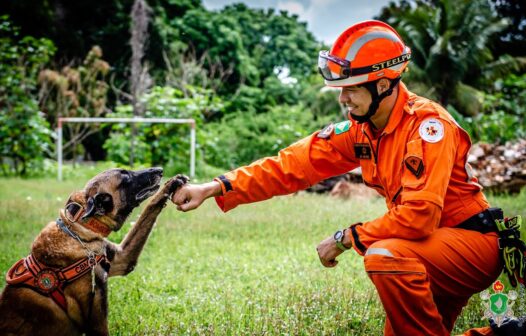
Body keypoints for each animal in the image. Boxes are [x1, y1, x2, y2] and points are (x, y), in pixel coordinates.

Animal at [0, 167, 189, 334]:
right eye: (125, 176)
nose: (160, 170)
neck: (79, 231)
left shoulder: (122, 258)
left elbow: (150, 208)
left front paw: (171, 184)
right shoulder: (97, 320)